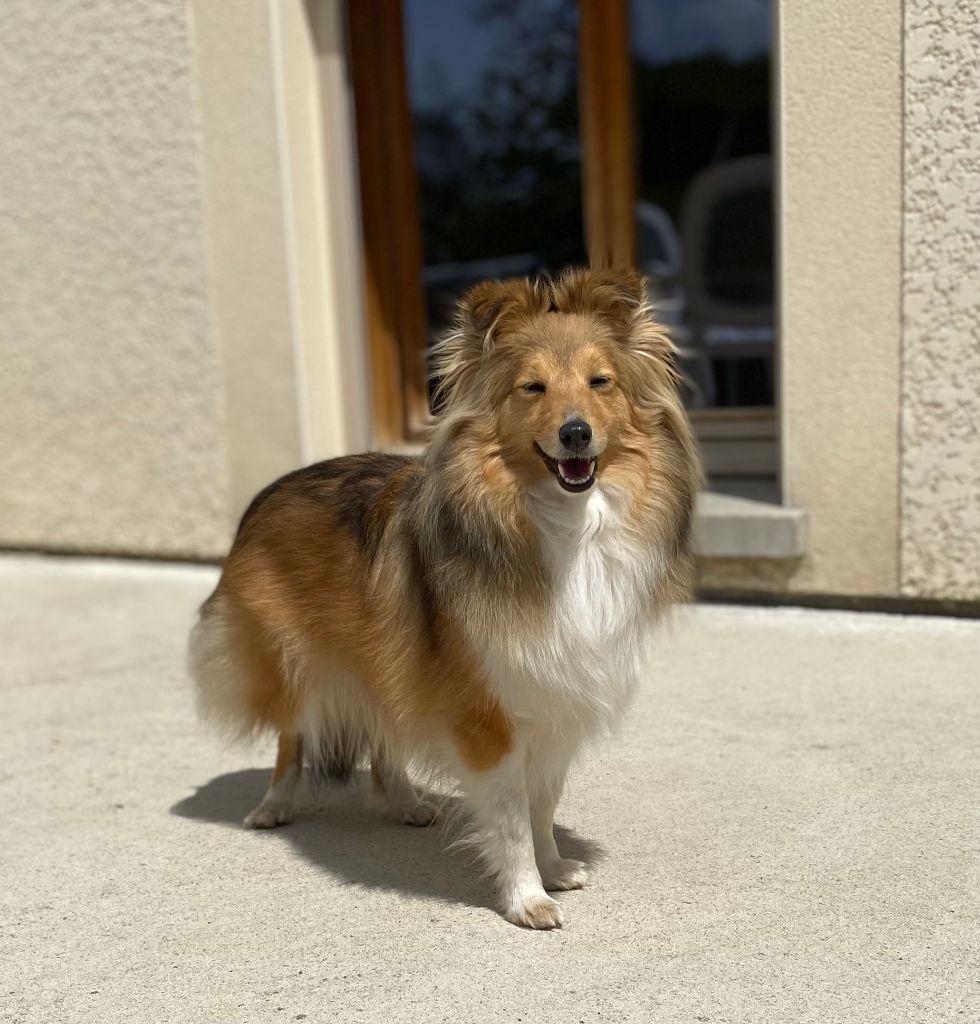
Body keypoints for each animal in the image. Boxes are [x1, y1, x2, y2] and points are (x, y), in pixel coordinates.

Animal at [189, 266, 696, 929]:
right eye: (532, 387)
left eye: (600, 381)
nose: (576, 433)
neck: (563, 526)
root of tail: (269, 492)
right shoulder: (488, 711)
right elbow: (510, 814)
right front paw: (527, 897)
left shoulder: (554, 696)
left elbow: (542, 801)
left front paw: (554, 867)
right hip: (293, 660)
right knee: (291, 738)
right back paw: (273, 806)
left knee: (385, 733)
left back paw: (406, 802)